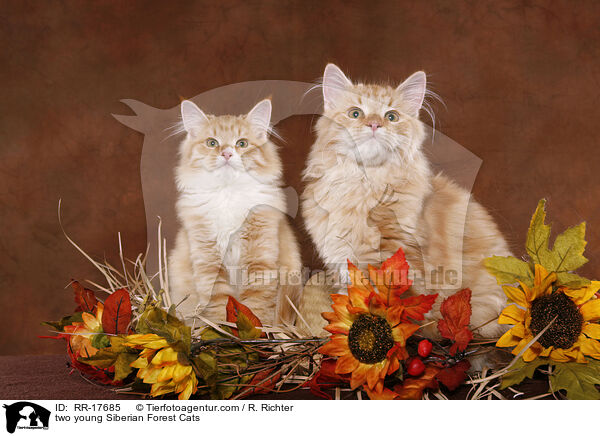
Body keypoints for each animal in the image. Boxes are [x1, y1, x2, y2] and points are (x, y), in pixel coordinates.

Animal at [169, 98, 302, 324]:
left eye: (242, 144)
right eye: (212, 143)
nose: (227, 153)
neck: (228, 193)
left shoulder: (259, 258)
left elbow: (256, 303)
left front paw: (256, 328)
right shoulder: (208, 260)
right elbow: (220, 303)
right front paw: (221, 328)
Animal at [302, 63, 512, 338]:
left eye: (391, 117)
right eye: (355, 113)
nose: (374, 124)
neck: (365, 185)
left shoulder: (399, 259)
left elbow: (392, 305)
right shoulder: (342, 260)